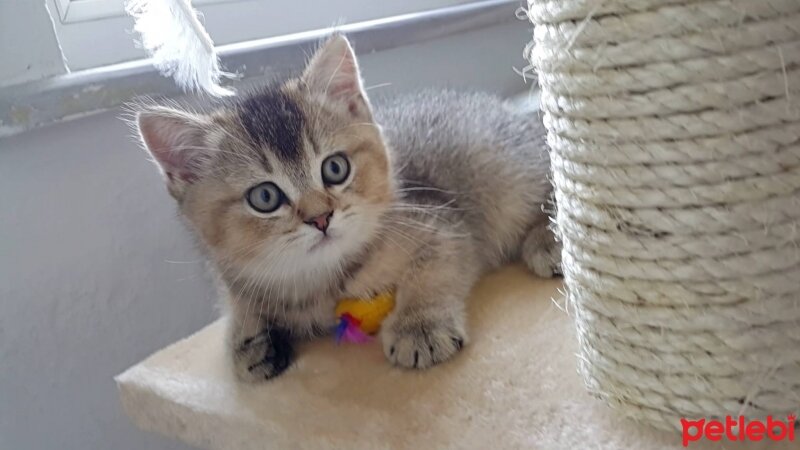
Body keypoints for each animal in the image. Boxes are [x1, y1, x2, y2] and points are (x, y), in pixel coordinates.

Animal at [134, 35, 560, 382]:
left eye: (335, 168)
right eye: (265, 197)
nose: (320, 218)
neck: (319, 281)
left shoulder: (443, 224)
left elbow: (432, 272)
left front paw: (419, 326)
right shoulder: (235, 275)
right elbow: (239, 307)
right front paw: (250, 341)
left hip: (508, 172)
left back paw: (550, 242)